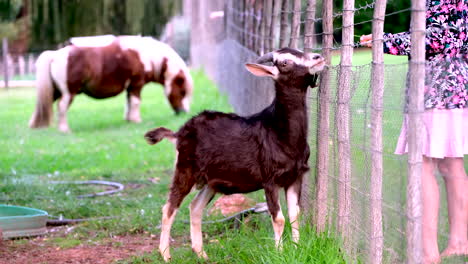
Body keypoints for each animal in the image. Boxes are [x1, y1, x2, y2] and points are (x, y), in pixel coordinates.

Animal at [28, 35, 193, 133]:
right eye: (183, 91)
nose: (183, 112)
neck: (146, 55)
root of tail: (55, 54)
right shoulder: (136, 85)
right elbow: (135, 102)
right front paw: (136, 120)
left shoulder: (130, 87)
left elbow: (129, 103)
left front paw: (129, 120)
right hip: (69, 93)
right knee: (61, 107)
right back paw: (64, 129)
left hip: (55, 92)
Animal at [144, 48, 324, 262]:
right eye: (285, 62)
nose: (317, 58)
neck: (280, 133)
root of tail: (178, 133)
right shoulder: (270, 179)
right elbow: (279, 218)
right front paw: (280, 253)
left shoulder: (295, 177)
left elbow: (295, 215)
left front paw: (296, 249)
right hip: (185, 168)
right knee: (169, 208)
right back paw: (165, 255)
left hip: (211, 182)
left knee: (195, 207)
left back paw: (202, 254)